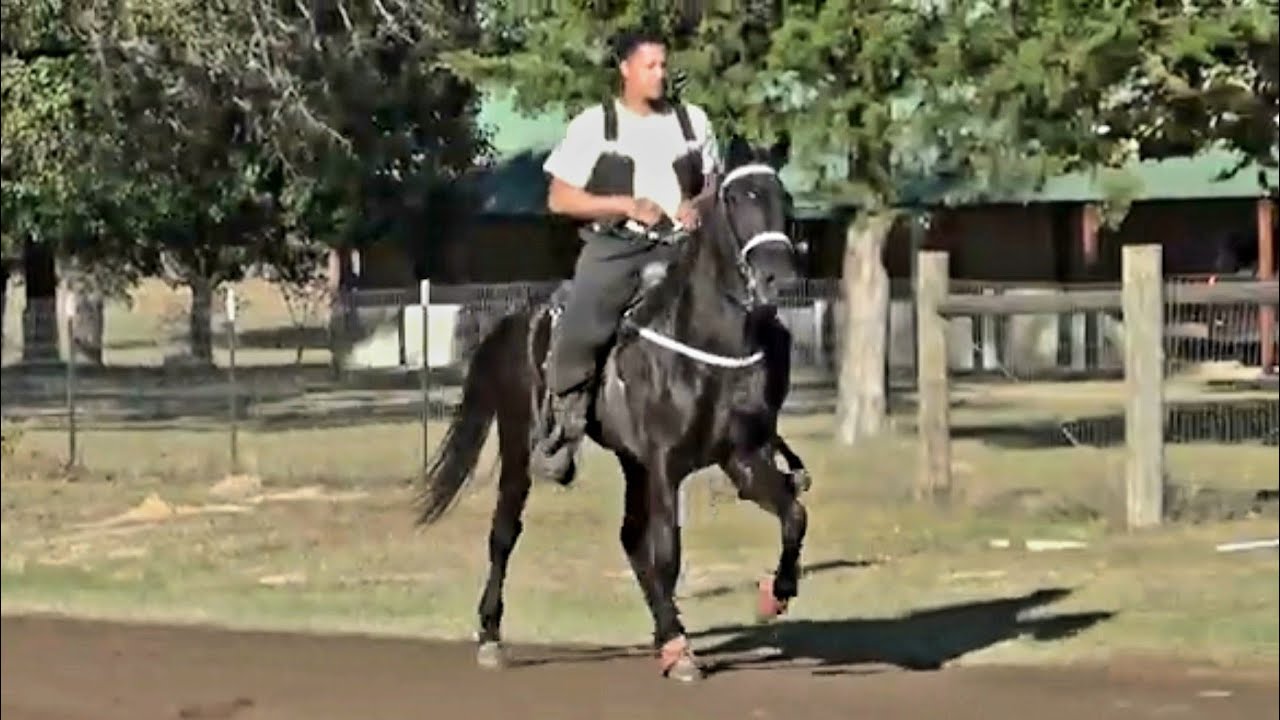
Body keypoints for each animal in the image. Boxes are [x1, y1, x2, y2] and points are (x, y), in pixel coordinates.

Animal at [414, 138, 809, 682]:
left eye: (782, 198)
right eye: (736, 198)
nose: (778, 276)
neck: (708, 346)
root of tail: (515, 323)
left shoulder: (741, 460)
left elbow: (793, 515)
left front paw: (776, 595)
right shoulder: (665, 466)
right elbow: (667, 553)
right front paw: (680, 653)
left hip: (631, 462)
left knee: (629, 539)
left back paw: (666, 630)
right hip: (520, 449)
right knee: (504, 534)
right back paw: (491, 637)